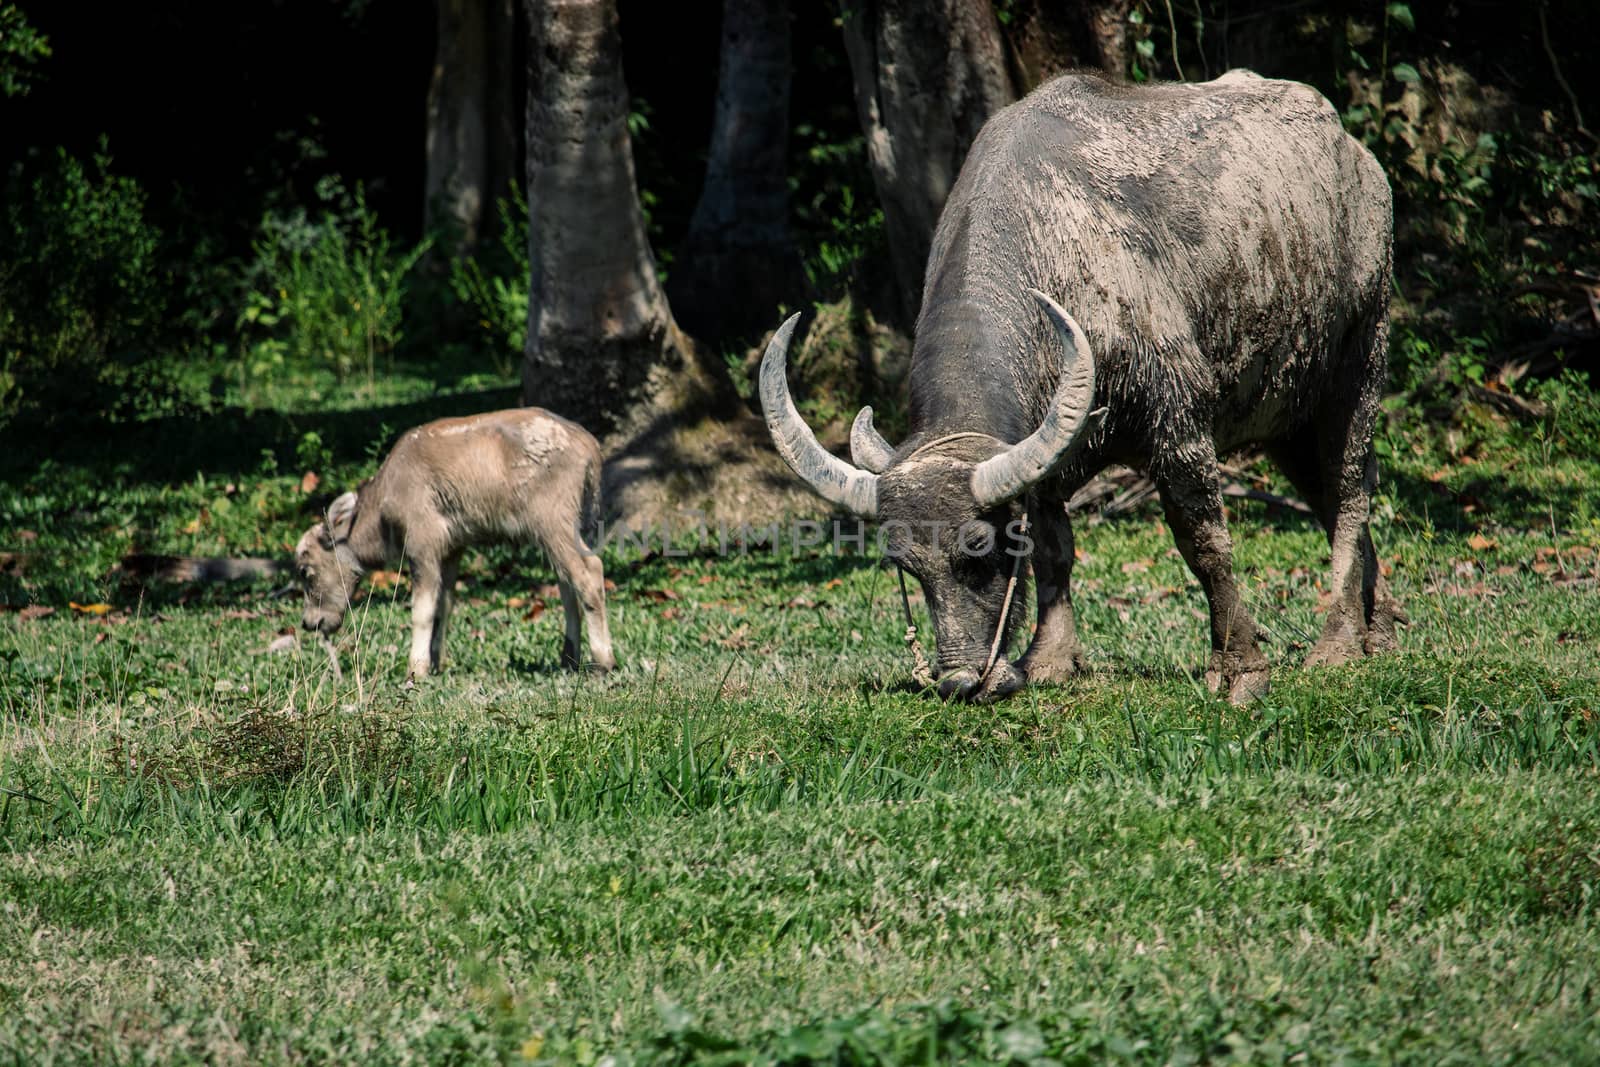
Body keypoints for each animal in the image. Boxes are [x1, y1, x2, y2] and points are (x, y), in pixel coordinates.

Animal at [761, 70, 1401, 703]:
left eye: (978, 547)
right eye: (907, 563)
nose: (960, 680)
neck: (1049, 246)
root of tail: (1358, 158)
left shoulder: (1179, 423)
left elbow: (1203, 541)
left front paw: (1240, 669)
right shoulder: (1044, 456)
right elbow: (1052, 548)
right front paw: (1049, 659)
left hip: (1361, 354)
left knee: (1349, 490)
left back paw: (1339, 643)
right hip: (1287, 416)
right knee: (1327, 494)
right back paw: (1382, 630)